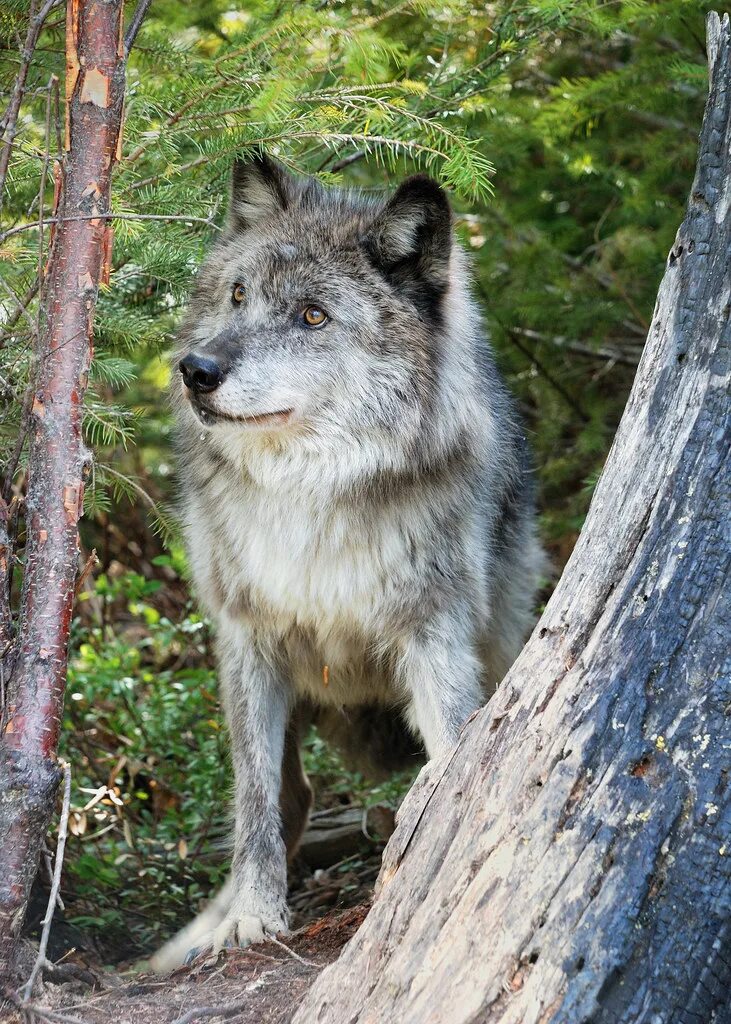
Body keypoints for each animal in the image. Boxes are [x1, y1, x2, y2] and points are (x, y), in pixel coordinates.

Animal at [150, 151, 540, 966]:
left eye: (312, 317)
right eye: (238, 295)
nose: (195, 369)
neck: (310, 493)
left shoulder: (433, 636)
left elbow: (454, 755)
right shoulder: (247, 641)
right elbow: (255, 801)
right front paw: (253, 916)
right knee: (288, 795)